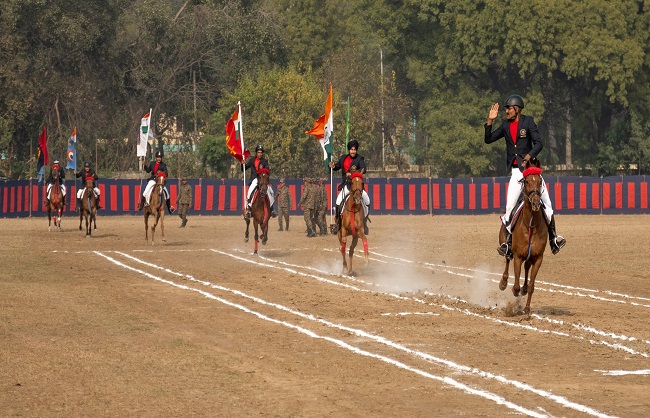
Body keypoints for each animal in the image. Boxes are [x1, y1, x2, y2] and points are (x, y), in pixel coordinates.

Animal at [496, 162, 548, 316]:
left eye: (540, 181)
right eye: (526, 181)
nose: (536, 203)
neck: (530, 225)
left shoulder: (538, 258)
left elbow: (531, 285)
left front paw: (527, 309)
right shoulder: (518, 256)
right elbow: (516, 284)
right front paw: (514, 291)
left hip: (530, 256)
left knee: (526, 268)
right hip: (507, 247)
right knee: (507, 259)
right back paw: (503, 283)